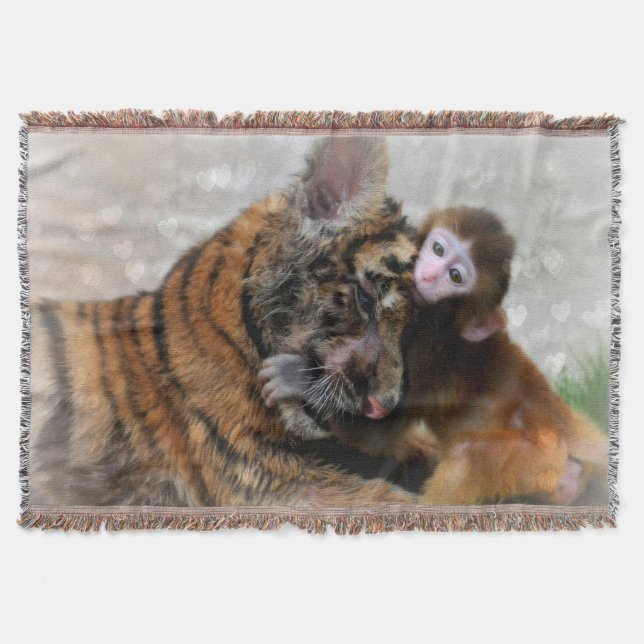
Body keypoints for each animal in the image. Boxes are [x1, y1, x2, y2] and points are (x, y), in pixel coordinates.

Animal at [259, 207, 608, 505]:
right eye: (438, 249)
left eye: (455, 276)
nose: (426, 276)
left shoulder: (421, 353)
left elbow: (375, 434)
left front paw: (298, 379)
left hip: (540, 459)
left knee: (467, 455)